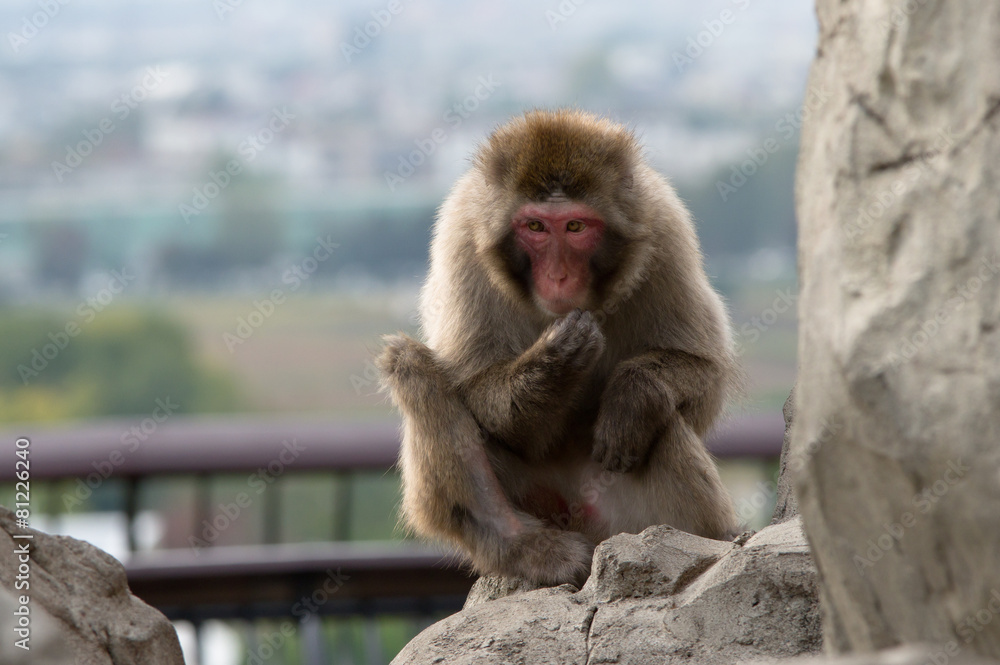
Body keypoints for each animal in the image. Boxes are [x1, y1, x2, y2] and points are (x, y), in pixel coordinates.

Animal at [377, 109, 739, 586]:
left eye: (575, 226)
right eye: (535, 227)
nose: (559, 276)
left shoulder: (665, 227)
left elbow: (706, 376)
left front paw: (632, 394)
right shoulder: (461, 237)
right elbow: (478, 390)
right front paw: (558, 359)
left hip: (621, 514)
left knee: (660, 420)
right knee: (410, 366)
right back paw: (520, 543)